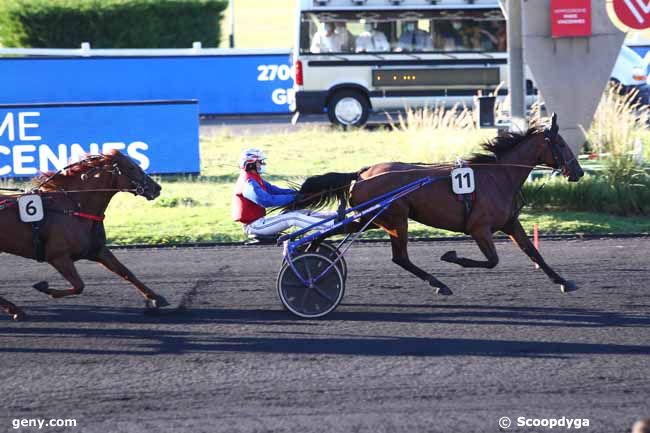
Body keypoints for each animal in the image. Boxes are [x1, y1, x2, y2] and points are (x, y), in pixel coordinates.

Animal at [0, 150, 167, 318]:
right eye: (132, 167)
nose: (157, 188)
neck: (75, 208)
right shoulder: (58, 256)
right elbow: (79, 285)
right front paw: (45, 288)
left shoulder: (97, 250)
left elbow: (126, 272)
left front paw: (156, 298)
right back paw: (15, 309)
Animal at [288, 114, 584, 294]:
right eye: (561, 143)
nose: (578, 172)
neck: (498, 176)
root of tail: (362, 173)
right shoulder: (479, 228)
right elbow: (492, 261)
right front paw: (451, 256)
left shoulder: (510, 223)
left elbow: (533, 252)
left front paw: (563, 281)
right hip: (396, 220)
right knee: (400, 257)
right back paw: (439, 283)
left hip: (371, 219)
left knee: (331, 232)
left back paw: (309, 251)